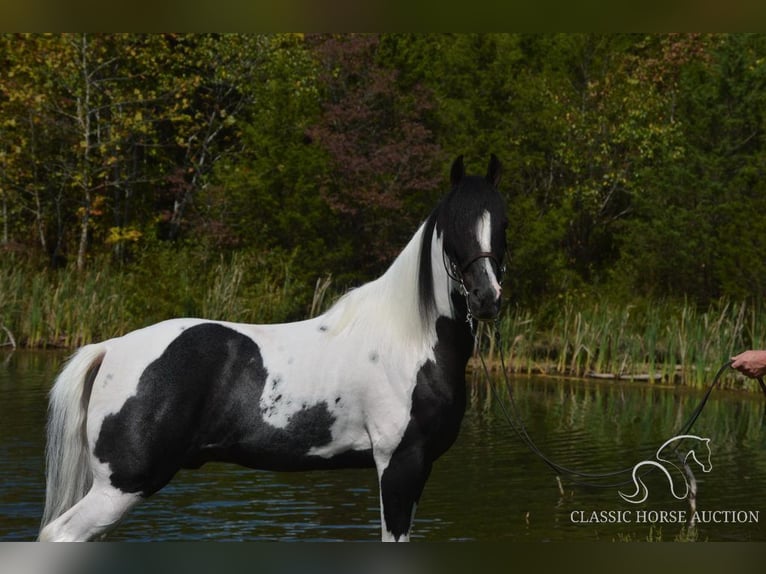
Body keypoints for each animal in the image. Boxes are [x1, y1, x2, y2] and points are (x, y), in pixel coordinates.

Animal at [40, 155, 510, 544]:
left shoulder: (416, 468)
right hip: (122, 484)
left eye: (503, 223)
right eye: (454, 224)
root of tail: (111, 348)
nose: (486, 298)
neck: (407, 340)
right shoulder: (399, 463)